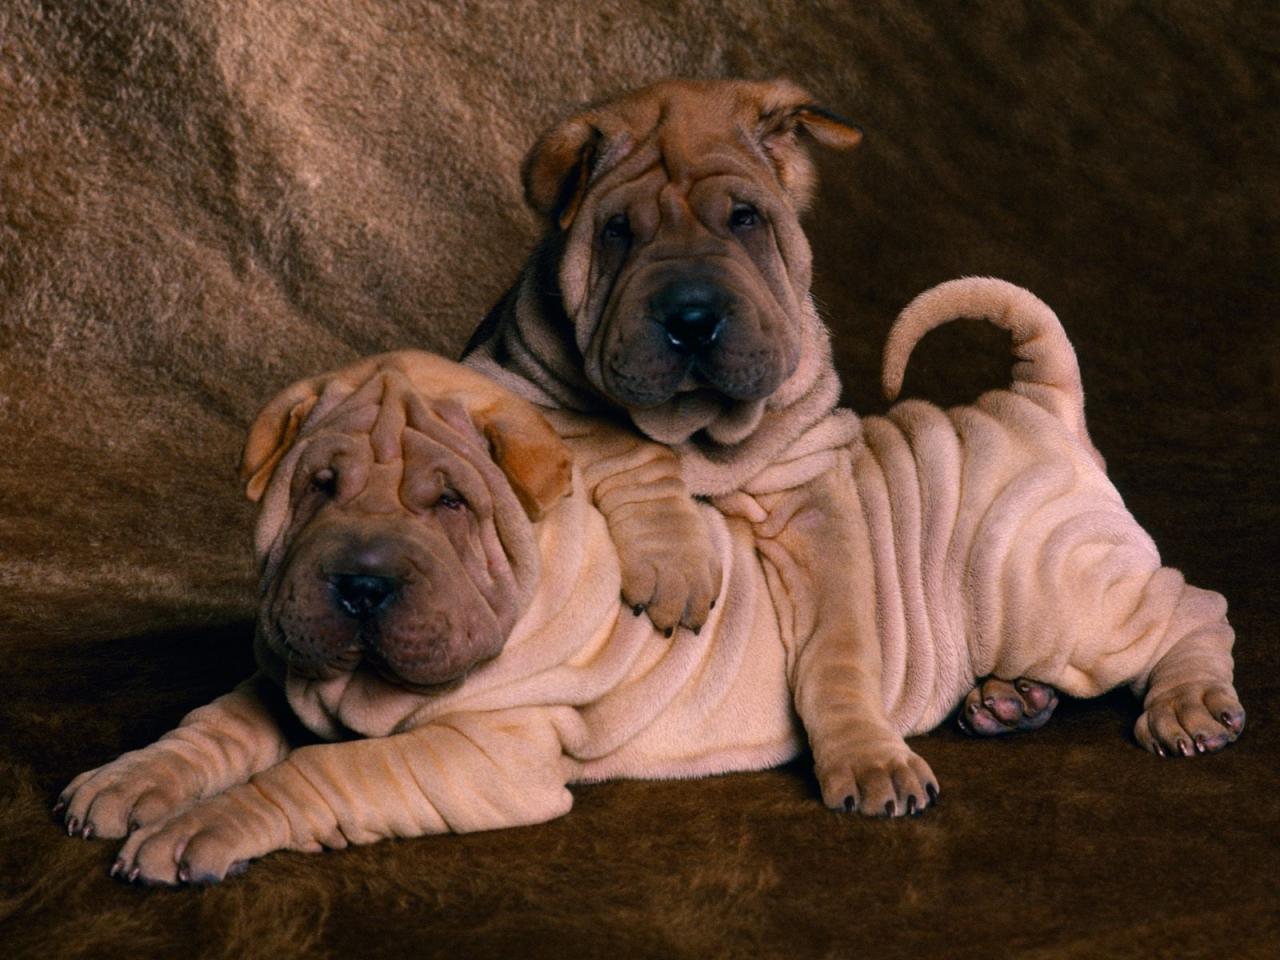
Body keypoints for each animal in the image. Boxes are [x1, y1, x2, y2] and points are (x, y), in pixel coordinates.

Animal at [57, 277, 1239, 885]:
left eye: (448, 505)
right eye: (317, 487)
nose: (357, 586)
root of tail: (1033, 404)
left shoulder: (485, 754)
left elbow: (317, 776)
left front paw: (200, 833)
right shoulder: (279, 674)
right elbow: (211, 728)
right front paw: (130, 782)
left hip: (1060, 592)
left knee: (1193, 607)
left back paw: (1186, 705)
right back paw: (1004, 701)